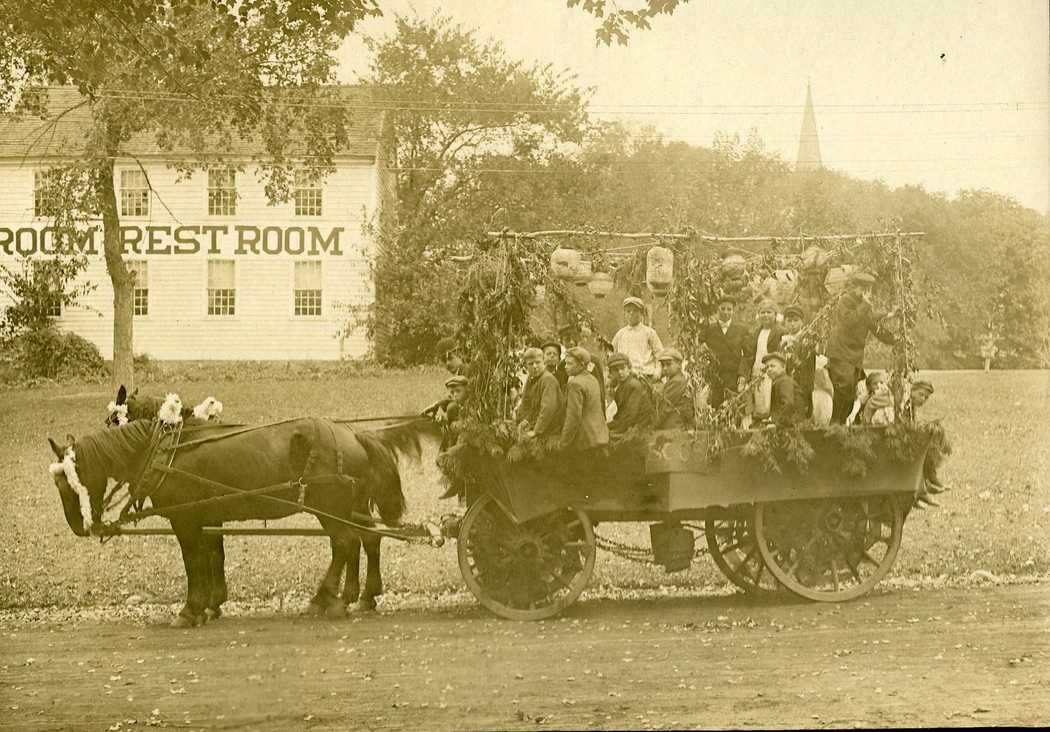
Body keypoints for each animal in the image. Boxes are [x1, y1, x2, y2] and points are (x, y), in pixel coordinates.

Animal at [49, 413, 438, 625]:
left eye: (73, 479)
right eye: (58, 481)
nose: (78, 526)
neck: (164, 453)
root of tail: (353, 433)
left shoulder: (185, 520)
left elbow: (194, 563)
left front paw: (191, 610)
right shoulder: (208, 517)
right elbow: (212, 557)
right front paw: (210, 605)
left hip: (329, 504)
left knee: (345, 543)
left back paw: (328, 599)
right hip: (344, 506)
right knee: (364, 539)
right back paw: (359, 595)